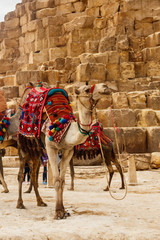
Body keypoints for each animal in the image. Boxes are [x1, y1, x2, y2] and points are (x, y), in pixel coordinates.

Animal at [16, 83, 110, 219]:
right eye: (87, 89)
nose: (105, 87)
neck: (66, 130)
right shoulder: (51, 148)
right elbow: (56, 180)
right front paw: (58, 212)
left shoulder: (68, 151)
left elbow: (62, 181)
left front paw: (63, 210)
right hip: (23, 143)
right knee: (21, 174)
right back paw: (20, 203)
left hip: (36, 150)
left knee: (33, 174)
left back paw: (40, 201)